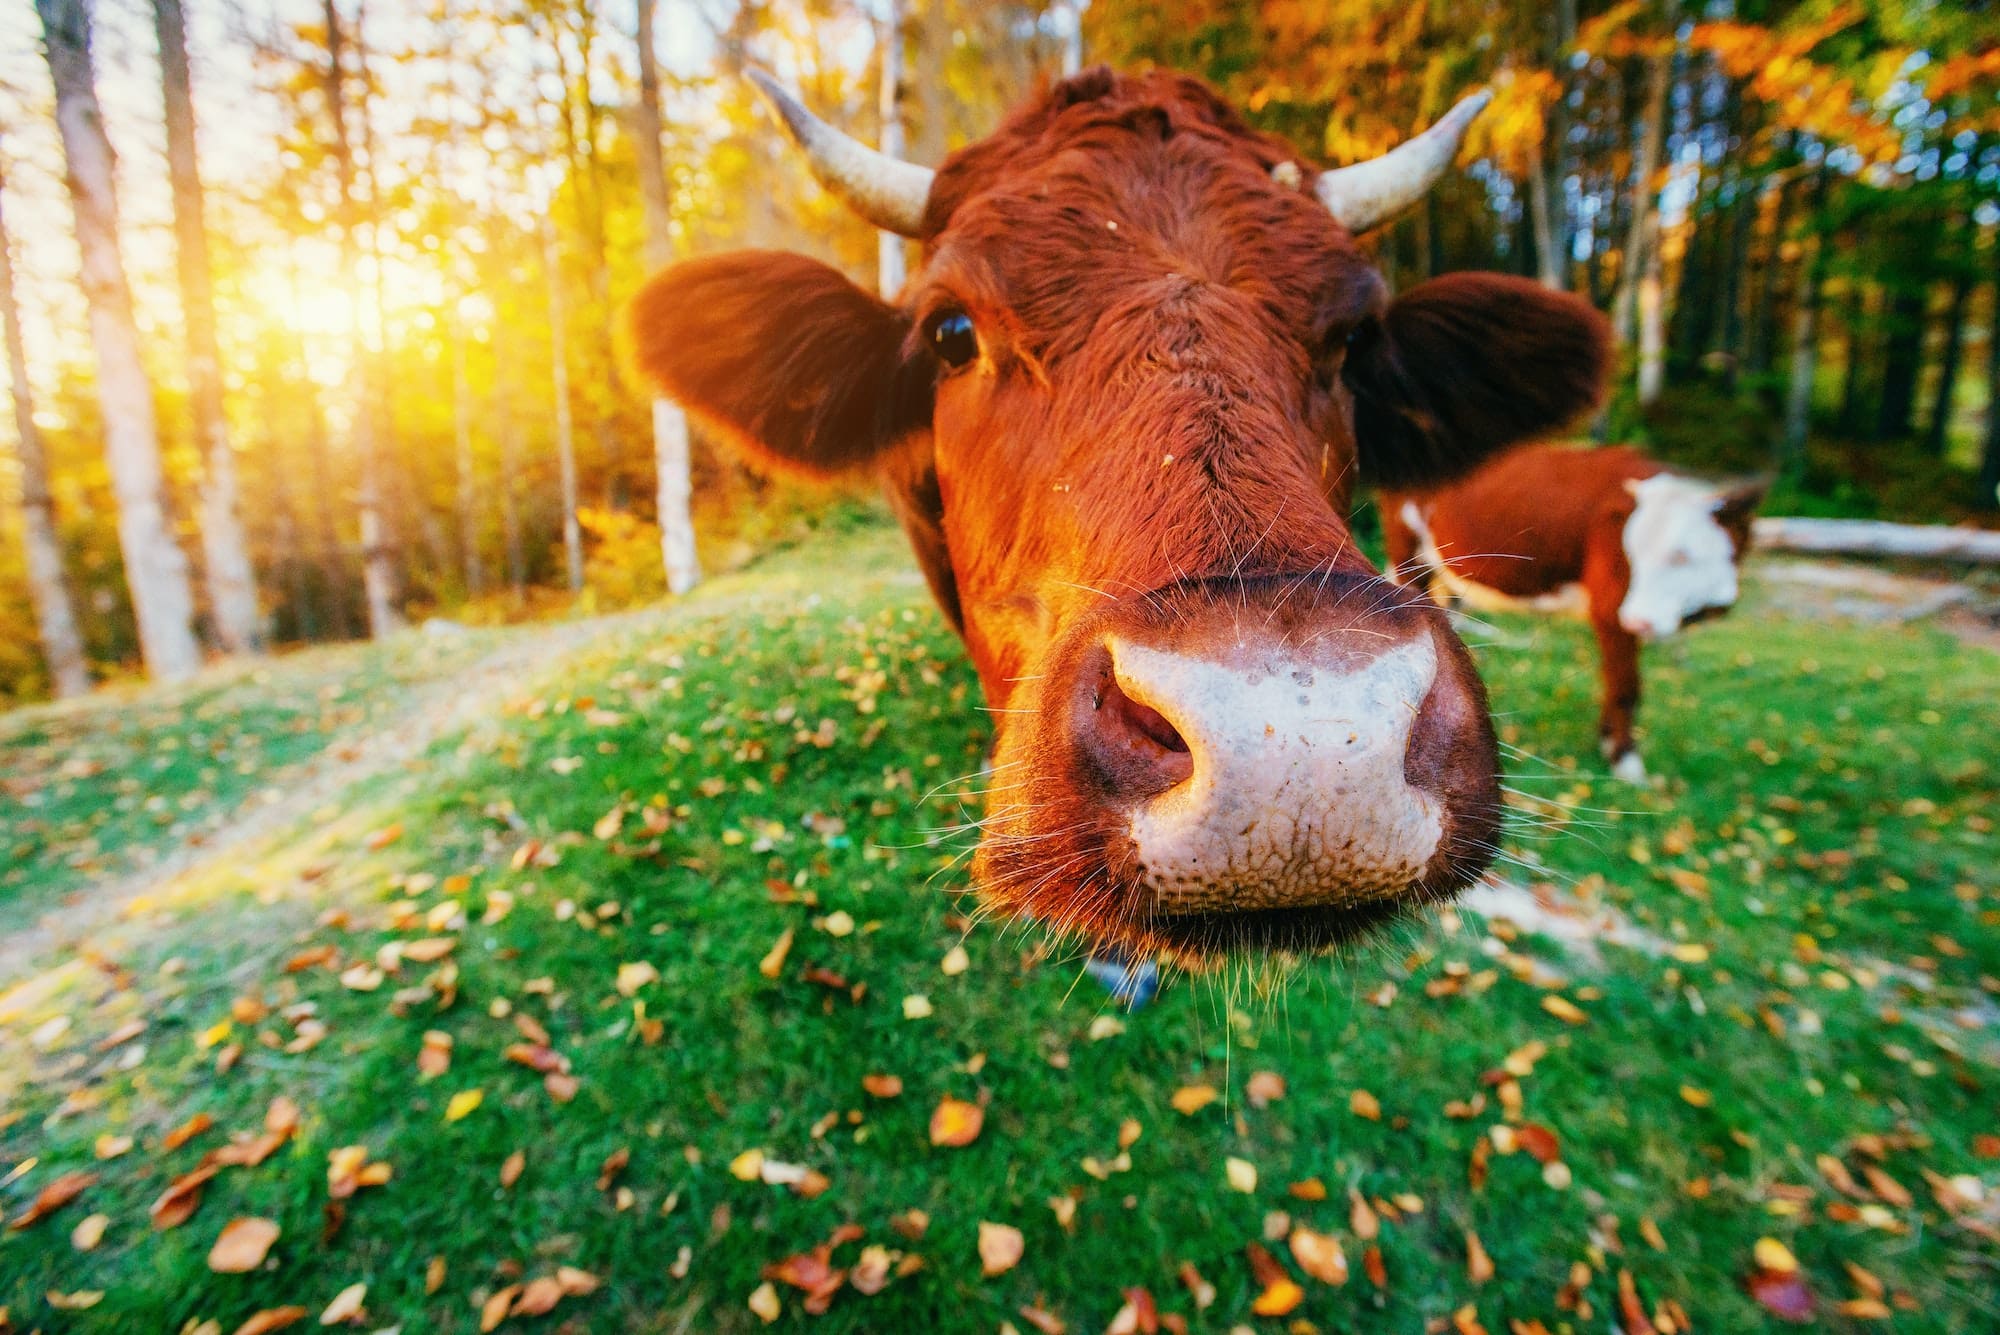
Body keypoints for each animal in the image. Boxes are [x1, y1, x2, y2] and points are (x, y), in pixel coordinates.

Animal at [1384, 445, 1760, 783]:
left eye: (1681, 556)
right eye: (1632, 551)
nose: (1638, 618)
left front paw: (1607, 742)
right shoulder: (1611, 608)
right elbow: (1624, 687)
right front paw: (1626, 763)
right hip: (1408, 553)